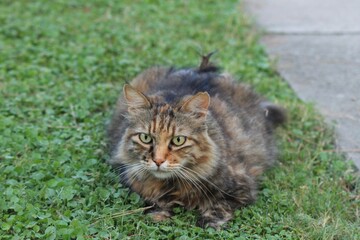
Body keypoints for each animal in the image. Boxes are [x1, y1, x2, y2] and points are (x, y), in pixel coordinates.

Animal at [105, 54, 286, 229]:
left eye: (178, 140)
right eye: (146, 138)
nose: (158, 161)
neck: (173, 185)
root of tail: (202, 69)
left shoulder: (242, 187)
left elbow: (220, 205)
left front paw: (209, 223)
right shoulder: (134, 183)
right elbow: (154, 201)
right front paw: (158, 215)